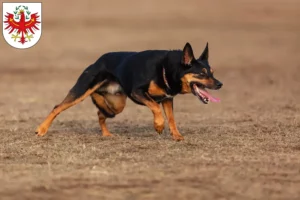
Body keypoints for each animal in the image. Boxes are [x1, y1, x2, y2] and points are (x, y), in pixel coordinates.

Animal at [35, 42, 223, 141]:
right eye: (202, 74)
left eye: (212, 72)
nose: (220, 84)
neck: (166, 70)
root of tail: (97, 61)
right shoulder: (137, 92)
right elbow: (156, 108)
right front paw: (158, 126)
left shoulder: (167, 99)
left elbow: (171, 119)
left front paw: (176, 136)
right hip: (82, 90)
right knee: (58, 107)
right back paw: (41, 129)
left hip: (117, 104)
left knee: (101, 113)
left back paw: (106, 133)